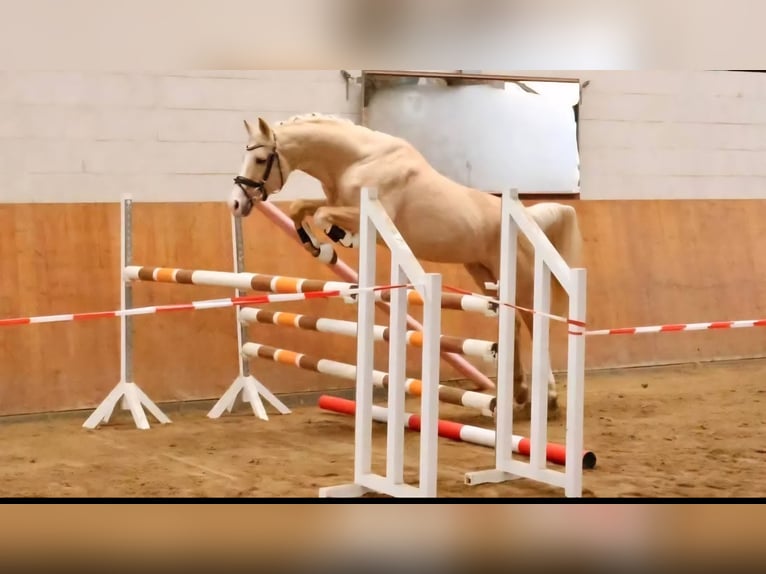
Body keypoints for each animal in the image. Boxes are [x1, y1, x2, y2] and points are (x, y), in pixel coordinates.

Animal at [227, 113, 583, 412]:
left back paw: (548, 397)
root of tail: (528, 217)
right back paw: (520, 393)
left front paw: (339, 241)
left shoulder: (362, 211)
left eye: (261, 159)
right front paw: (318, 248)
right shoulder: (334, 200)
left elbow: (323, 216)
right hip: (483, 272)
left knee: (532, 320)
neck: (359, 160)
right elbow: (301, 207)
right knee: (514, 324)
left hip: (520, 275)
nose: (236, 203)